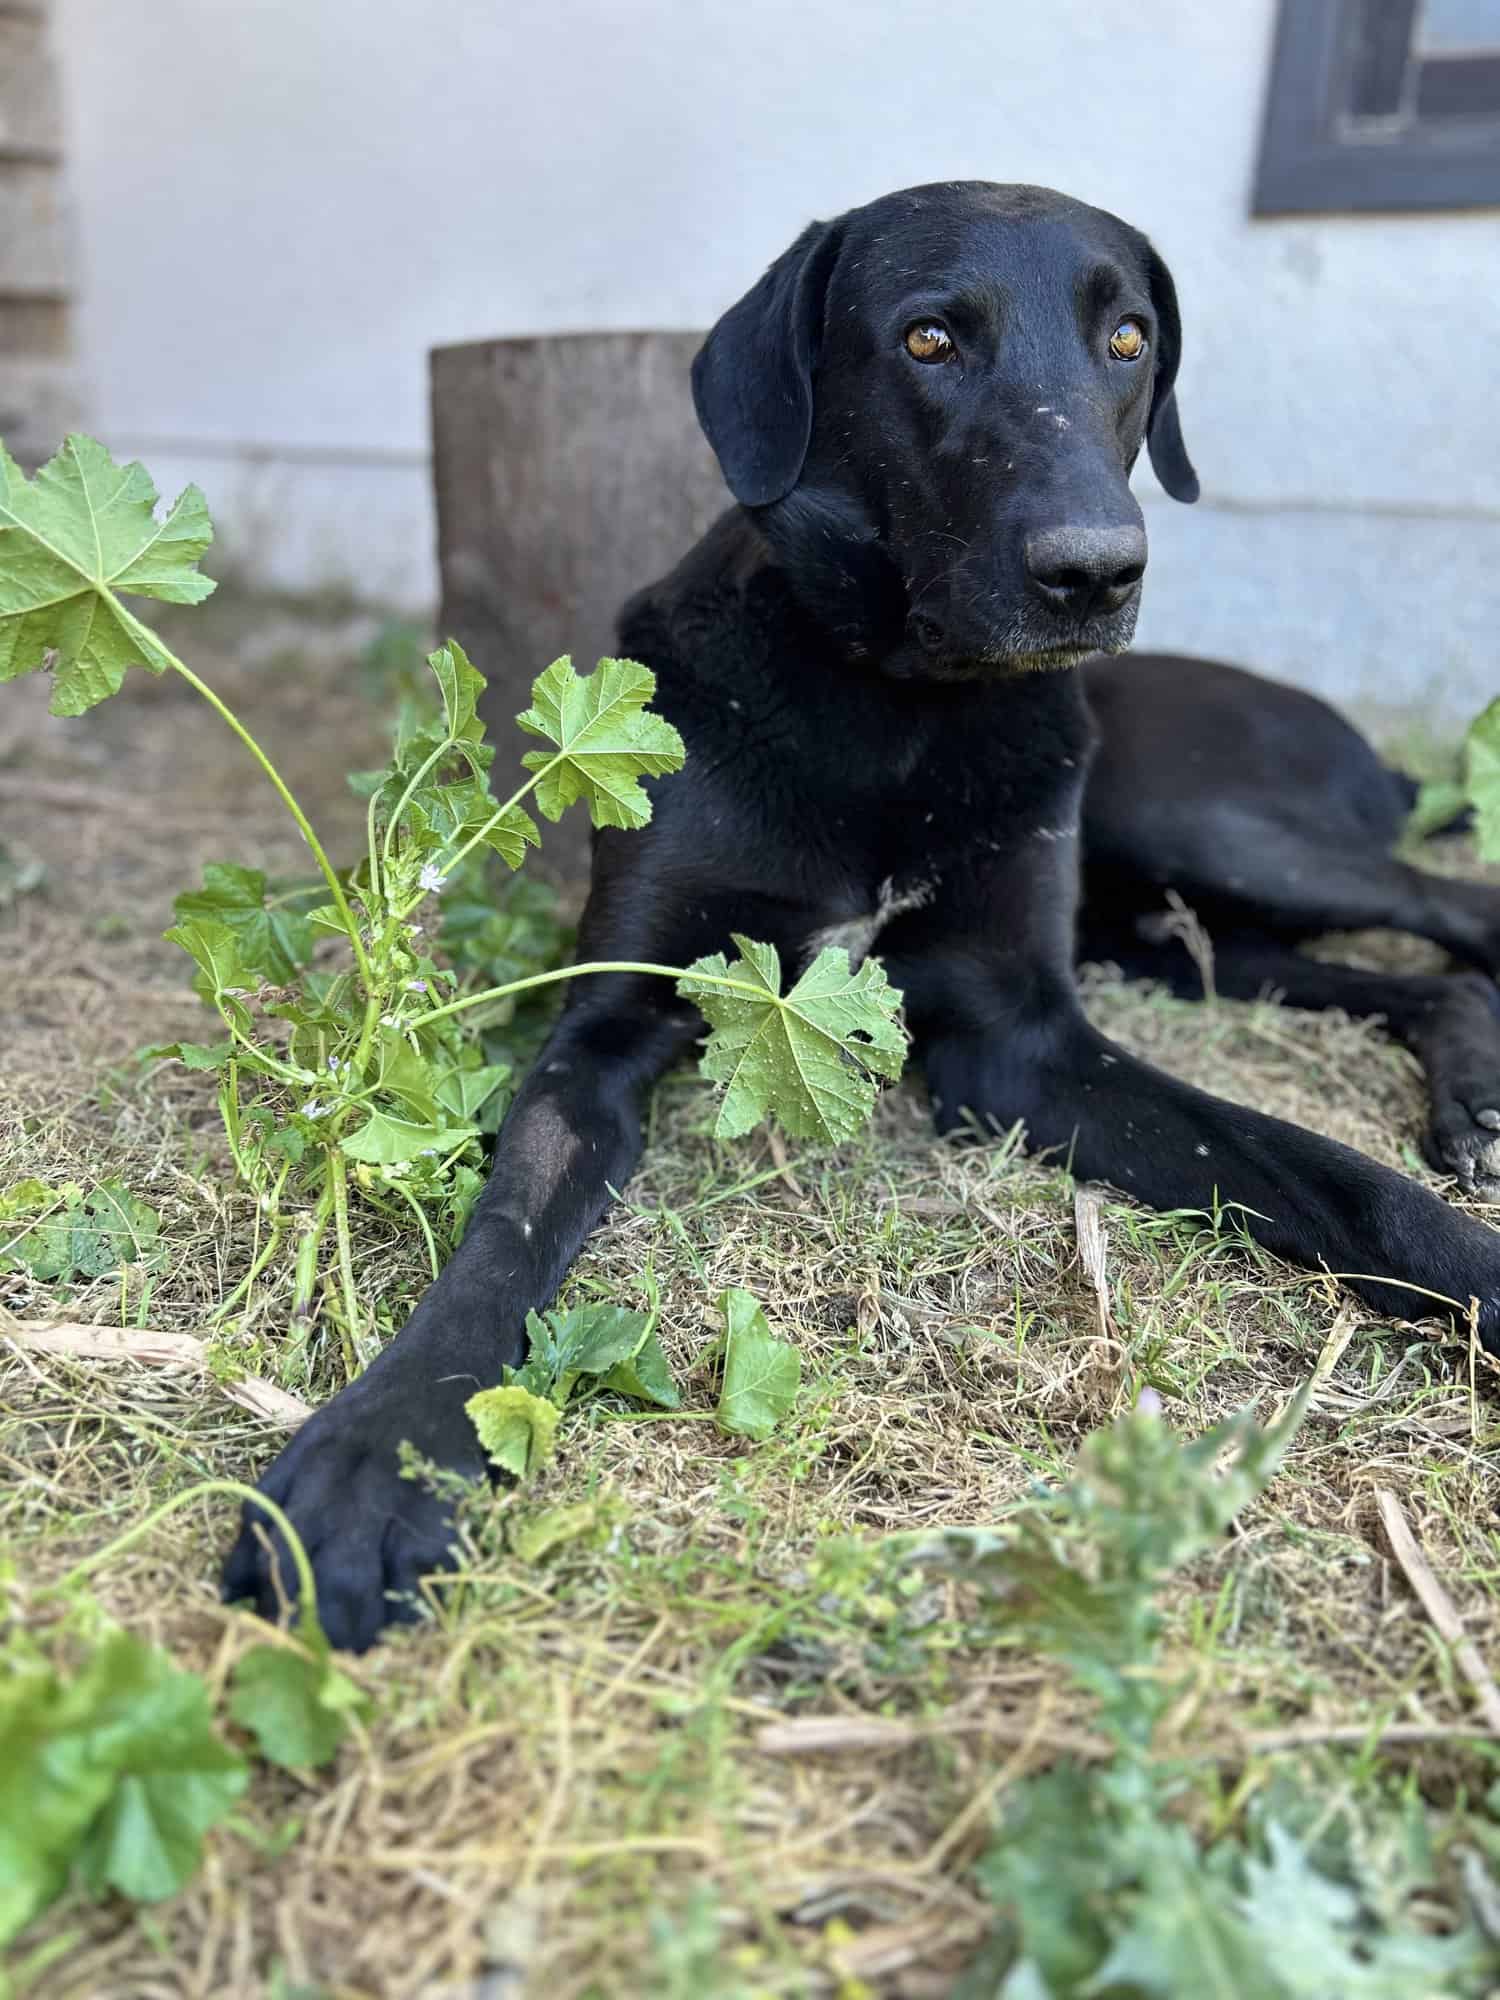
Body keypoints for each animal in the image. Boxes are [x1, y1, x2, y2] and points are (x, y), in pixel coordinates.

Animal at [223, 184, 1500, 1656]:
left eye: (1127, 336)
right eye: (929, 337)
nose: (1096, 571)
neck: (899, 710)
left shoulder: (1025, 1037)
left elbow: (1329, 1171)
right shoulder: (616, 1017)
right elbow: (506, 1228)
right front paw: (380, 1459)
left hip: (1207, 826)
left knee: (1455, 908)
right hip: (1176, 919)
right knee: (1409, 965)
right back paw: (1472, 1088)